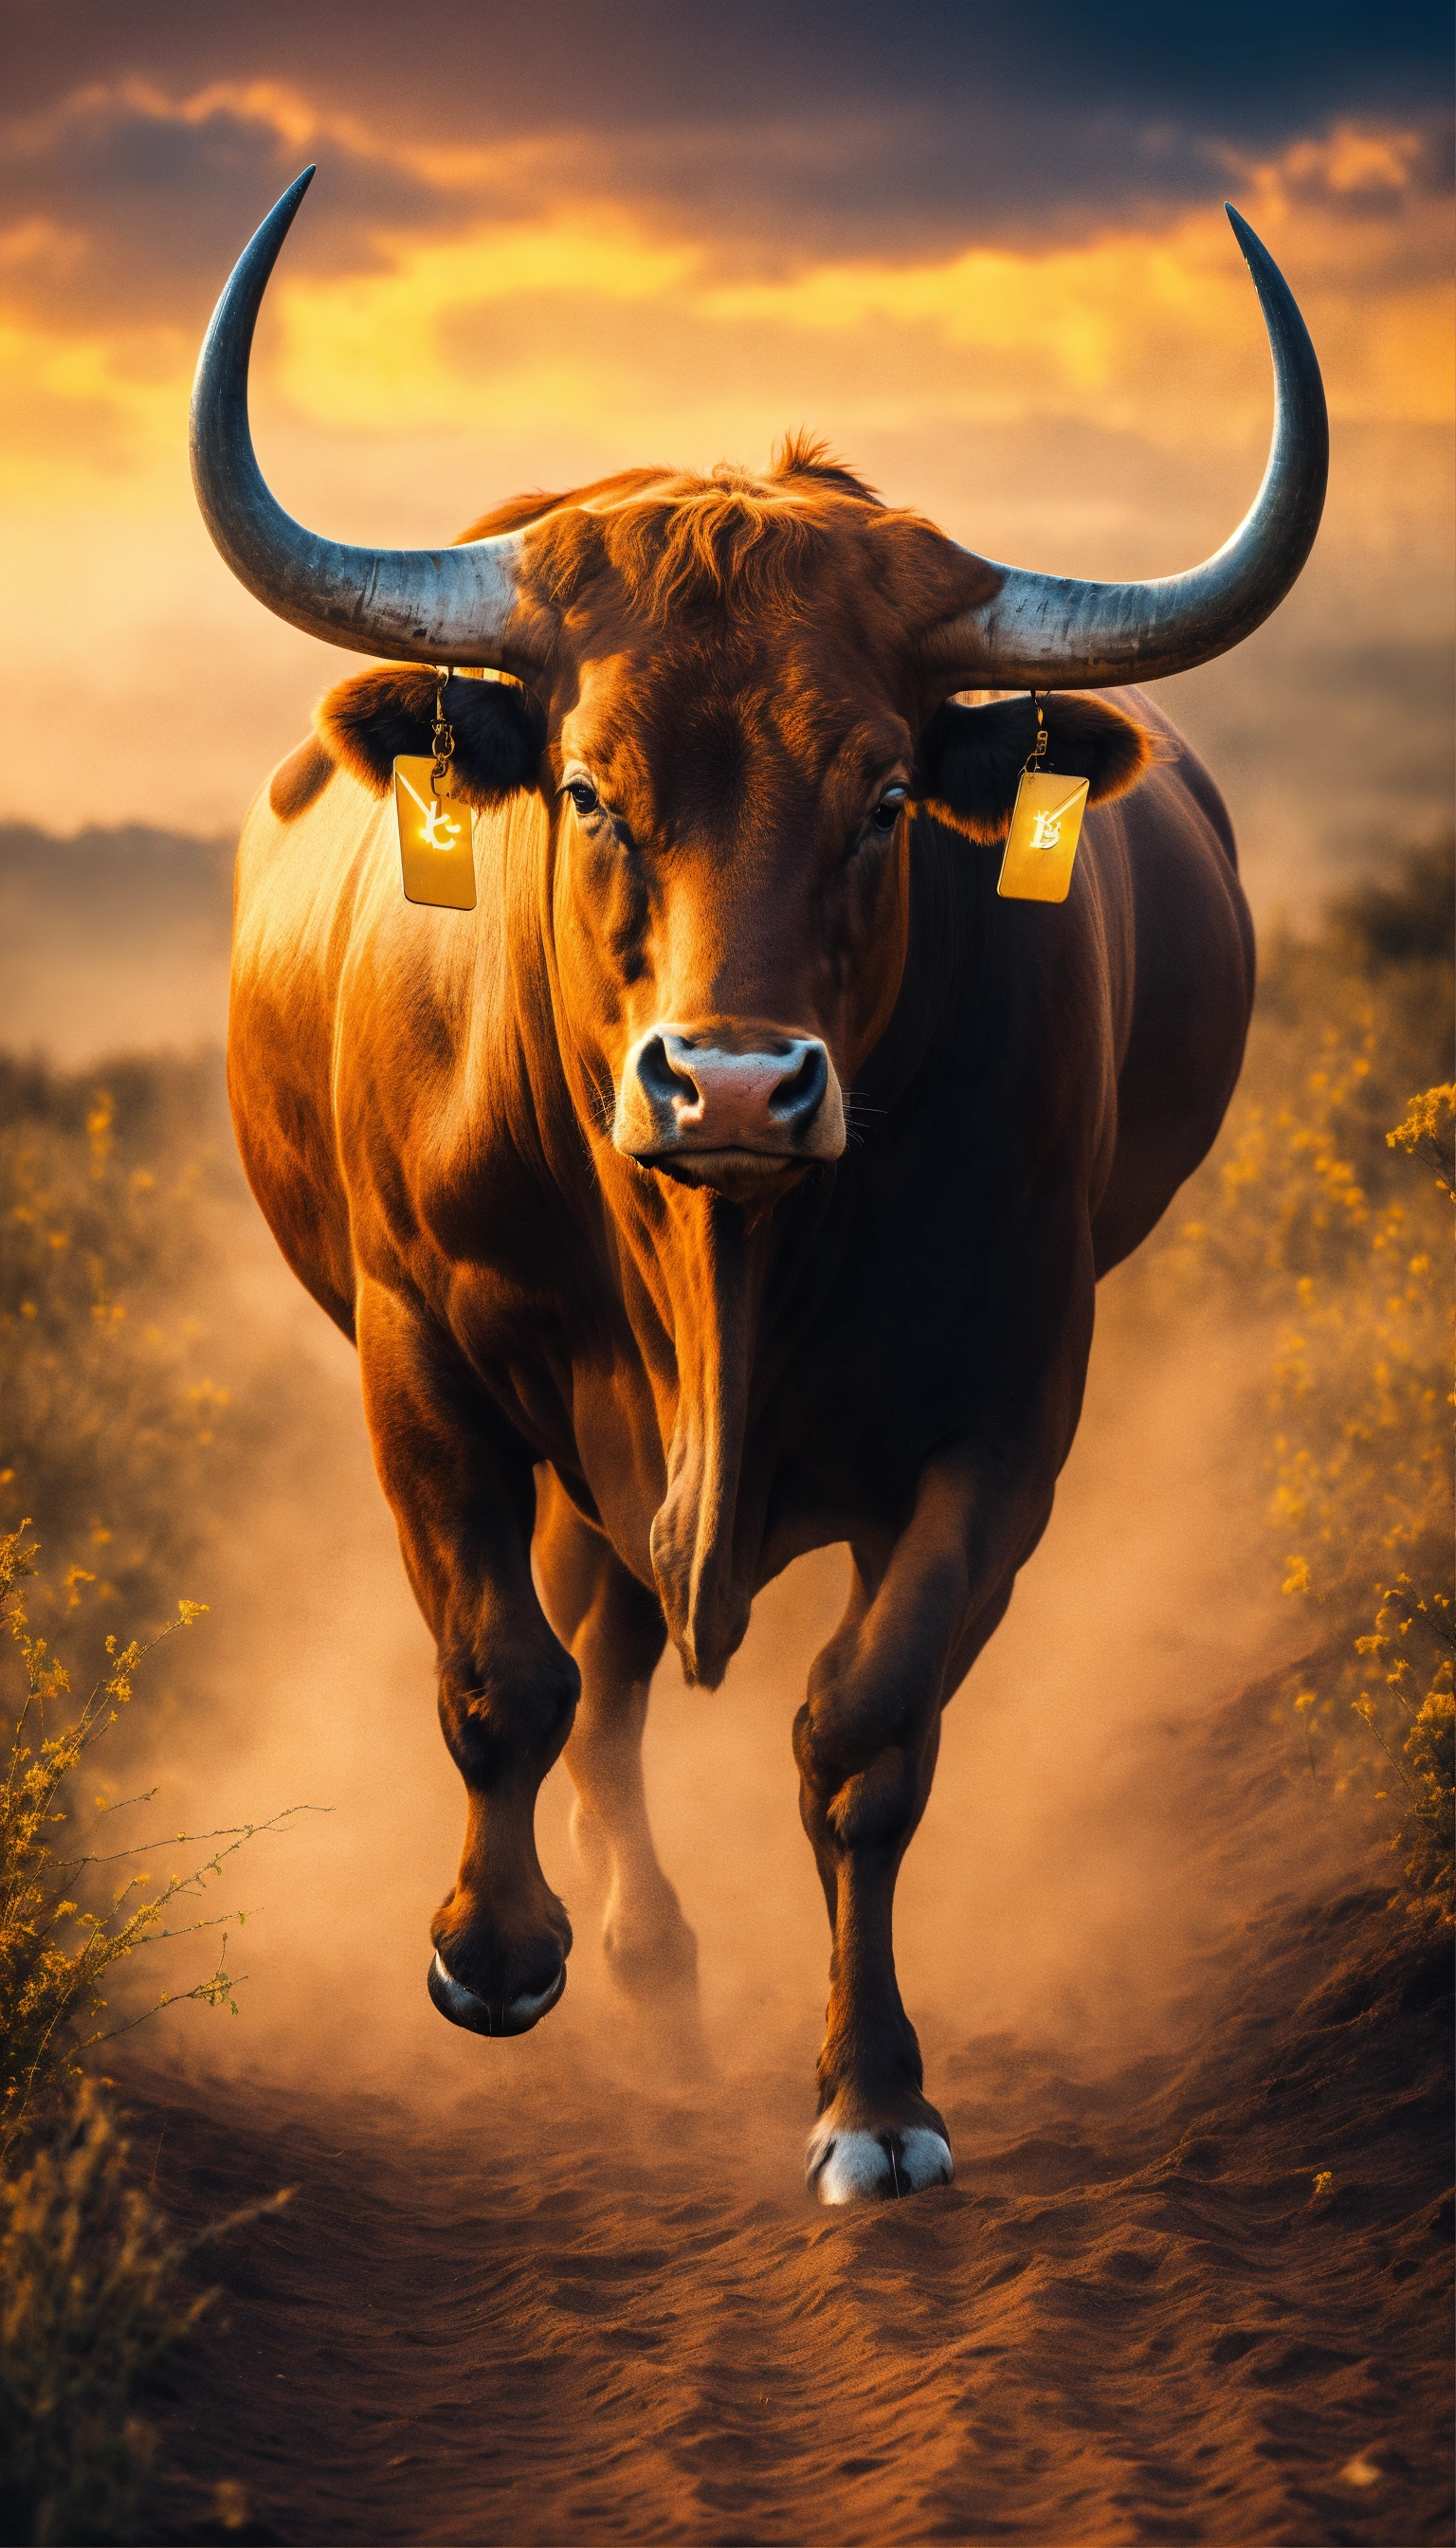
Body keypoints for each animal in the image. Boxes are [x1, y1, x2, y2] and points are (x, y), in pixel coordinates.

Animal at [192, 171, 1326, 2201]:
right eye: (586, 789)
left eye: (883, 796)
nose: (731, 1081)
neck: (718, 1269)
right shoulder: (418, 1358)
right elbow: (499, 1674)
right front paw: (493, 1953)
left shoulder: (1006, 1413)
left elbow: (865, 1736)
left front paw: (872, 2094)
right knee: (595, 1655)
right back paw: (621, 1949)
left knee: (632, 1643)